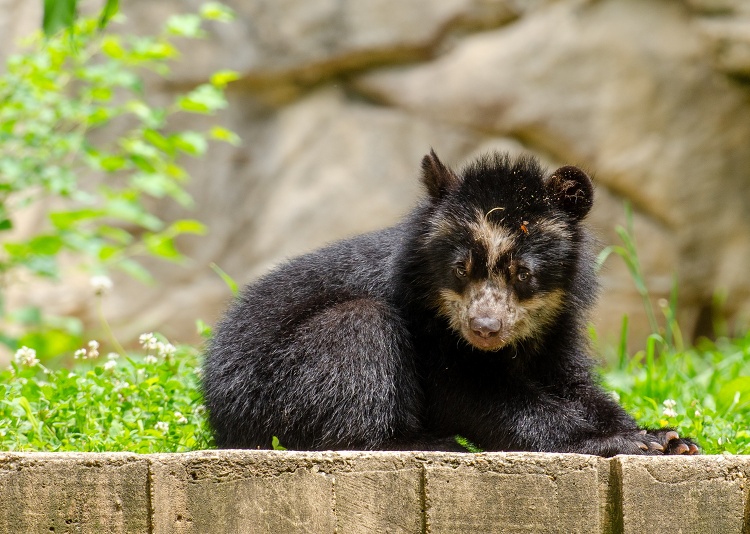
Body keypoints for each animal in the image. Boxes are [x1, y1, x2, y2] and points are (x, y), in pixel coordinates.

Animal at [203, 149, 704, 458]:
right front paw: (623, 442)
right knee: (358, 329)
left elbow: (573, 383)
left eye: (523, 273)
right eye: (461, 268)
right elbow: (473, 396)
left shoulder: (555, 325)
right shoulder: (426, 328)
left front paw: (668, 437)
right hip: (274, 388)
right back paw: (427, 443)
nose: (485, 327)